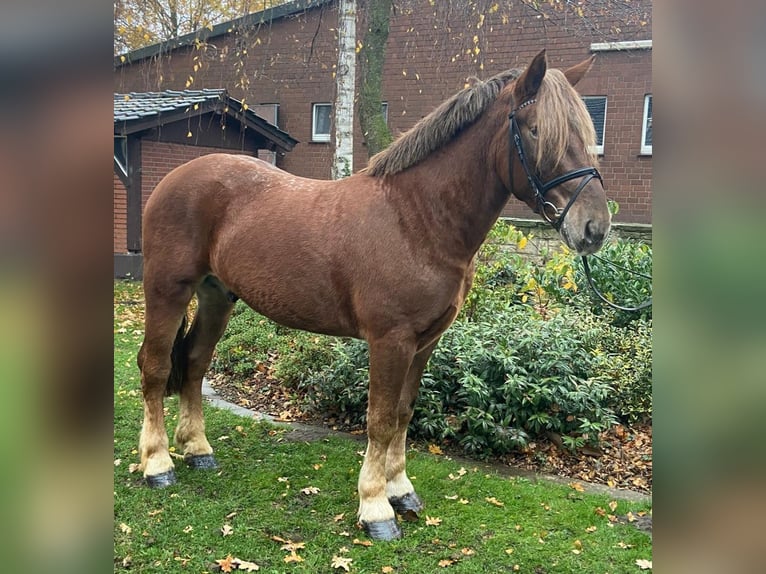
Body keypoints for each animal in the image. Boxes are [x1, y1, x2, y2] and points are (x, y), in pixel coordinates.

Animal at [136, 49, 610, 541]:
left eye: (586, 132)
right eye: (537, 130)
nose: (594, 227)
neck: (416, 218)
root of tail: (176, 176)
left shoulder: (425, 341)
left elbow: (402, 412)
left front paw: (401, 491)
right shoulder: (391, 340)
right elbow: (380, 421)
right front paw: (376, 508)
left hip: (216, 296)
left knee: (194, 364)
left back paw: (197, 450)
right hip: (167, 290)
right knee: (155, 368)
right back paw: (157, 465)